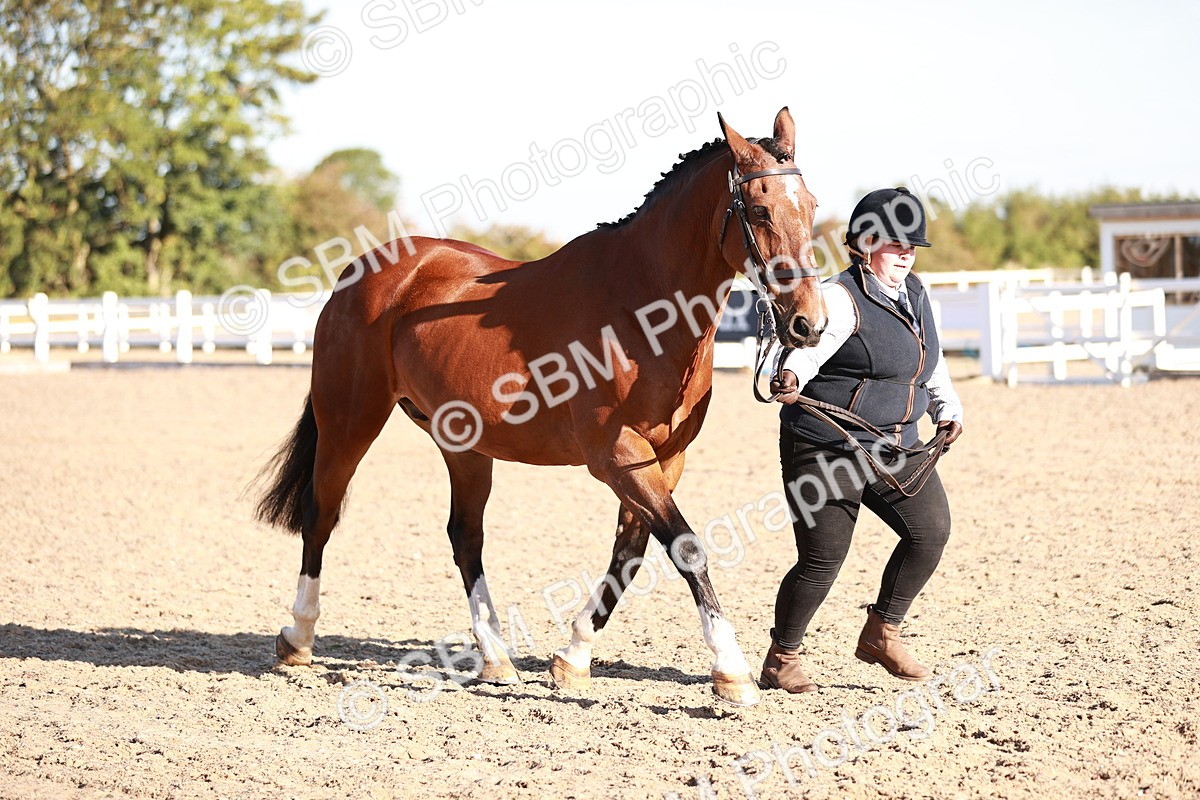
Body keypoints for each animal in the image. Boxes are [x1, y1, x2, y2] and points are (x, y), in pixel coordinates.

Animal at [254, 107, 827, 707]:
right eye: (759, 208)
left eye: (811, 206)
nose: (808, 324)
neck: (641, 305)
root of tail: (359, 271)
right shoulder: (617, 456)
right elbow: (687, 548)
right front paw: (731, 670)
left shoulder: (664, 458)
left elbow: (630, 553)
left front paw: (572, 658)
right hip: (350, 422)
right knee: (320, 515)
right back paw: (298, 638)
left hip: (463, 445)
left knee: (465, 537)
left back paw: (495, 658)